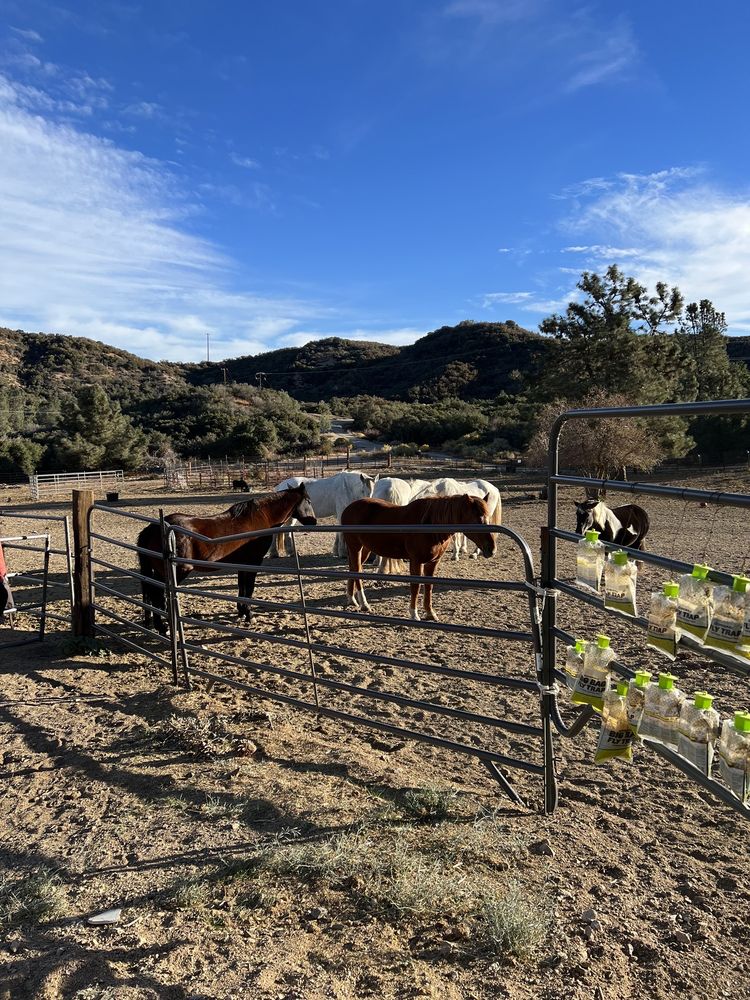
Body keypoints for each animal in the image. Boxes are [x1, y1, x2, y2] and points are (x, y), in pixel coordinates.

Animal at [137, 484, 316, 633]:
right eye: (308, 500)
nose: (314, 522)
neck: (261, 518)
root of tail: (154, 528)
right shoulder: (254, 562)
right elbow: (249, 588)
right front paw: (249, 614)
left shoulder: (243, 563)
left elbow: (241, 587)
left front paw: (241, 611)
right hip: (176, 571)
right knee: (157, 594)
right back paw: (163, 627)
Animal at [341, 493, 496, 622]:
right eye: (477, 520)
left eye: (488, 518)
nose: (491, 549)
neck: (430, 525)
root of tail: (348, 508)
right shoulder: (416, 561)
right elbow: (415, 586)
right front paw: (414, 614)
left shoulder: (432, 562)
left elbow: (429, 586)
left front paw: (430, 613)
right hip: (355, 547)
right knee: (357, 571)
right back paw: (364, 604)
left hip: (365, 549)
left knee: (353, 568)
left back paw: (351, 599)